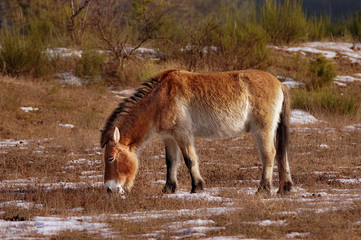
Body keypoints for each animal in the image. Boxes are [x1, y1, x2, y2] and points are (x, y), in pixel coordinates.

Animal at [100, 69, 292, 195]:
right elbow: (171, 162)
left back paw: (263, 189)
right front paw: (168, 189)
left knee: (269, 154)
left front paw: (197, 187)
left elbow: (189, 160)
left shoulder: (182, 135)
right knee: (282, 153)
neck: (160, 98)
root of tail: (280, 84)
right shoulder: (169, 138)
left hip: (263, 130)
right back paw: (285, 187)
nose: (109, 189)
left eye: (111, 158)